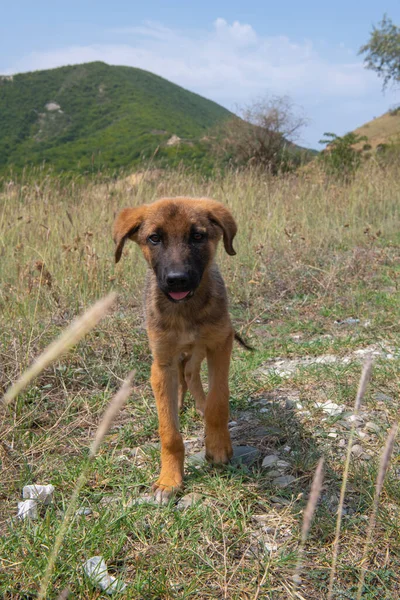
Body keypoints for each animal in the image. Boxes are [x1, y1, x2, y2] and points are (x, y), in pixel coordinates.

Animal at [112, 198, 238, 502]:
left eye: (198, 236)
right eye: (154, 238)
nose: (177, 279)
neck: (186, 311)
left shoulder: (221, 344)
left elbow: (218, 401)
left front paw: (218, 446)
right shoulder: (162, 363)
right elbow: (168, 431)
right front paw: (169, 480)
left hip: (200, 350)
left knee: (192, 376)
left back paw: (200, 406)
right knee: (184, 377)